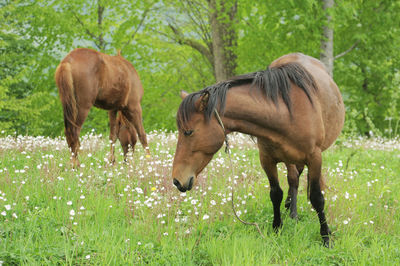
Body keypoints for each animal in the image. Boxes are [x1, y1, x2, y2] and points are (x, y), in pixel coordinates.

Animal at [172, 53, 344, 246]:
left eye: (188, 132)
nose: (177, 180)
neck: (288, 112)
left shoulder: (314, 158)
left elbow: (317, 198)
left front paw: (326, 237)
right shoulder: (267, 159)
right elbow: (275, 193)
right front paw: (277, 228)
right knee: (293, 179)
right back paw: (291, 212)